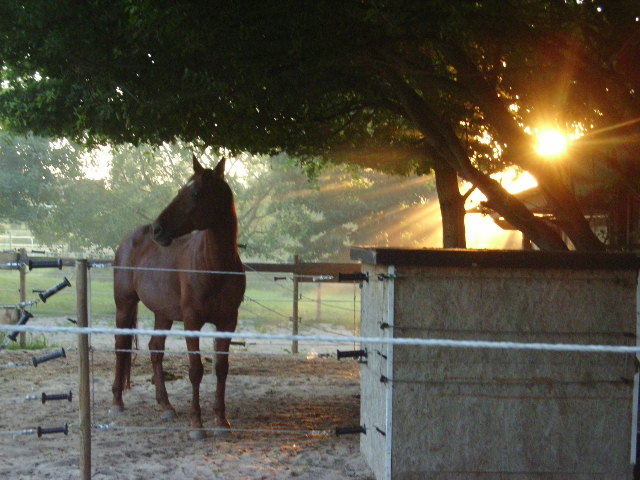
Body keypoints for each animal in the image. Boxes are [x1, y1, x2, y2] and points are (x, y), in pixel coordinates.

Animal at [110, 155, 245, 438]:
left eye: (195, 193)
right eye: (182, 189)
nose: (158, 230)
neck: (214, 266)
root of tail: (129, 239)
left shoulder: (228, 322)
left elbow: (222, 368)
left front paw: (221, 420)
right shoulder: (192, 322)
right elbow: (195, 370)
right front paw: (196, 424)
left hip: (163, 313)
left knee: (155, 350)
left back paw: (166, 406)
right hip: (124, 305)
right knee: (121, 346)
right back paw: (117, 402)